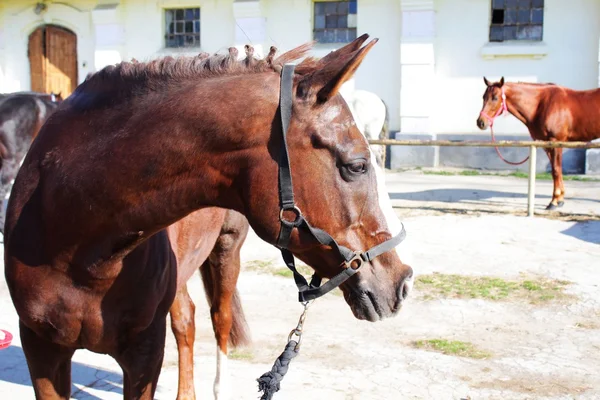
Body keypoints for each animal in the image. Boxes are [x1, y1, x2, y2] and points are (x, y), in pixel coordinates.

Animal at [3, 34, 412, 400]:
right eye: (356, 165)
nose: (402, 282)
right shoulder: (41, 351)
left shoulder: (143, 352)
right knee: (186, 318)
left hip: (226, 252)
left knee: (218, 319)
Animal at [478, 76, 600, 211]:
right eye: (483, 97)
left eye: (495, 97)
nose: (481, 122)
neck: (542, 104)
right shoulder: (547, 144)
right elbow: (556, 171)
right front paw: (560, 200)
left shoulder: (556, 142)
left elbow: (556, 170)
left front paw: (554, 202)